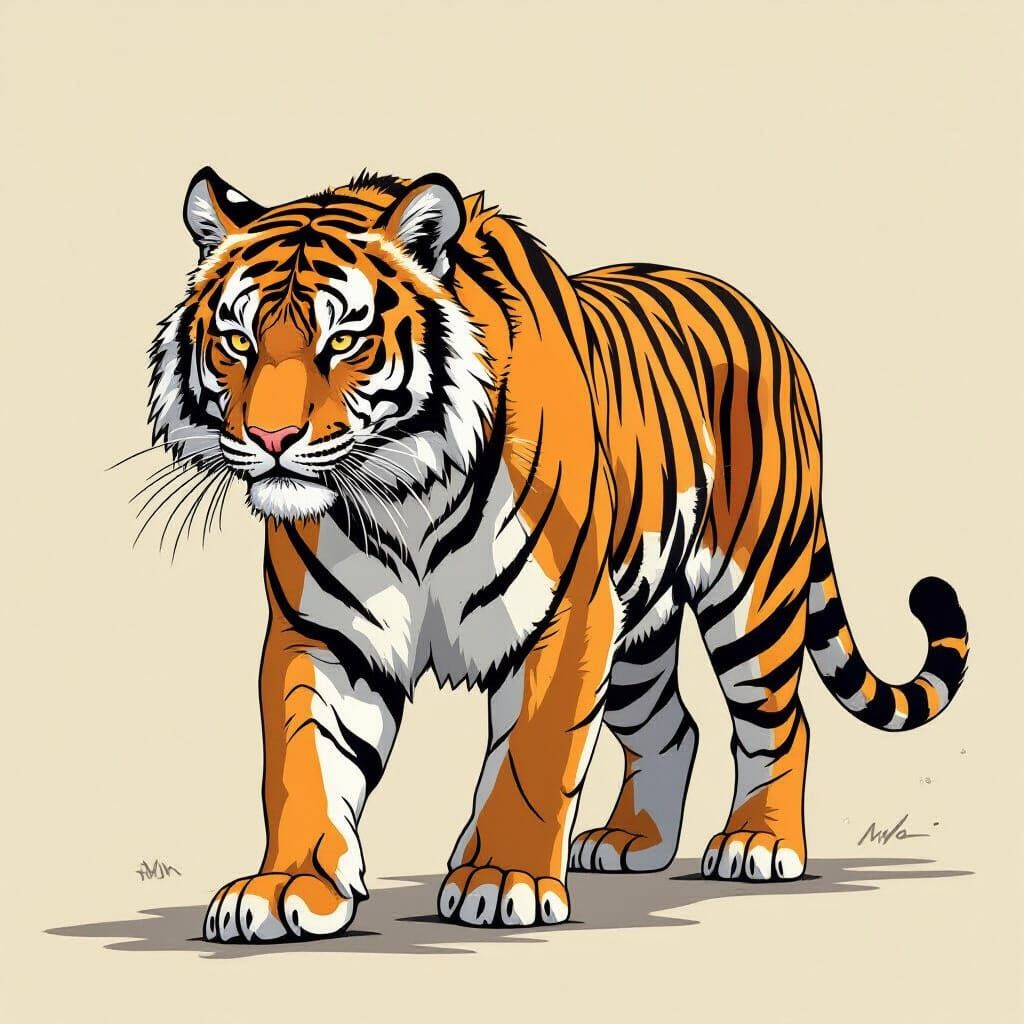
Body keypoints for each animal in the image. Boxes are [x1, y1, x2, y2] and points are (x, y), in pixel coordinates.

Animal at [147, 167, 969, 942]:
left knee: (779, 723)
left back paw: (757, 845)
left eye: (344, 341)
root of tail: (766, 323)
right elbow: (305, 764)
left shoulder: (566, 613)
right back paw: (633, 841)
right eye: (238, 341)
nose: (270, 439)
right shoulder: (322, 632)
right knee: (675, 726)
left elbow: (532, 757)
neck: (404, 495)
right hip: (638, 630)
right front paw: (286, 889)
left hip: (753, 590)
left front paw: (500, 878)